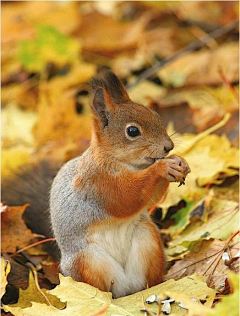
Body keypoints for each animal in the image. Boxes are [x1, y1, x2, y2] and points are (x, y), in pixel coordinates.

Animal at [1, 69, 189, 298]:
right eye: (132, 131)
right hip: (87, 261)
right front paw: (162, 167)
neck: (125, 163)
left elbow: (150, 198)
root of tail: (127, 291)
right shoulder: (98, 182)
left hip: (148, 239)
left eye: (155, 115)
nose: (168, 146)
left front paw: (180, 162)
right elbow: (126, 198)